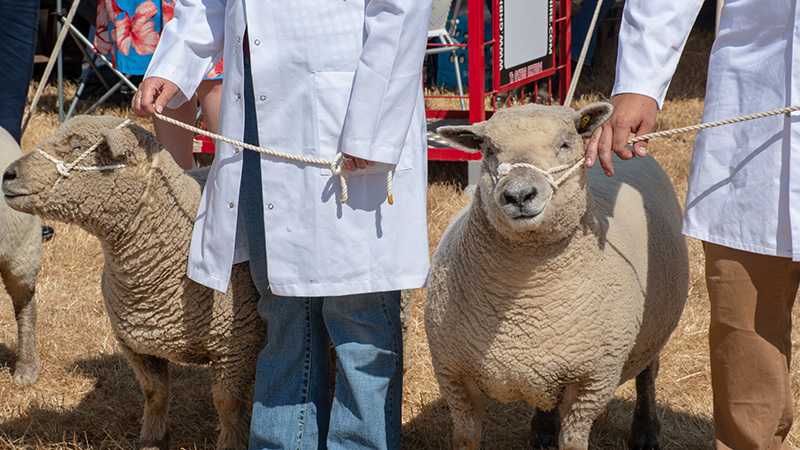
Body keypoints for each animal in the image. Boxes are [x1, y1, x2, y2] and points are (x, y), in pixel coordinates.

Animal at [1, 116, 264, 450]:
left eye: (77, 145)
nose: (8, 174)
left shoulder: (236, 346)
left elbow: (228, 405)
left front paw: (231, 441)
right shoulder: (136, 345)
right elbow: (155, 394)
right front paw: (152, 439)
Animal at [426, 102, 689, 450]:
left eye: (564, 144)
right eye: (490, 150)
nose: (519, 194)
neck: (526, 301)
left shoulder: (590, 384)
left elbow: (573, 441)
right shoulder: (454, 377)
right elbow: (466, 437)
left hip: (654, 325)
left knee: (648, 373)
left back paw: (646, 432)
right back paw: (543, 430)